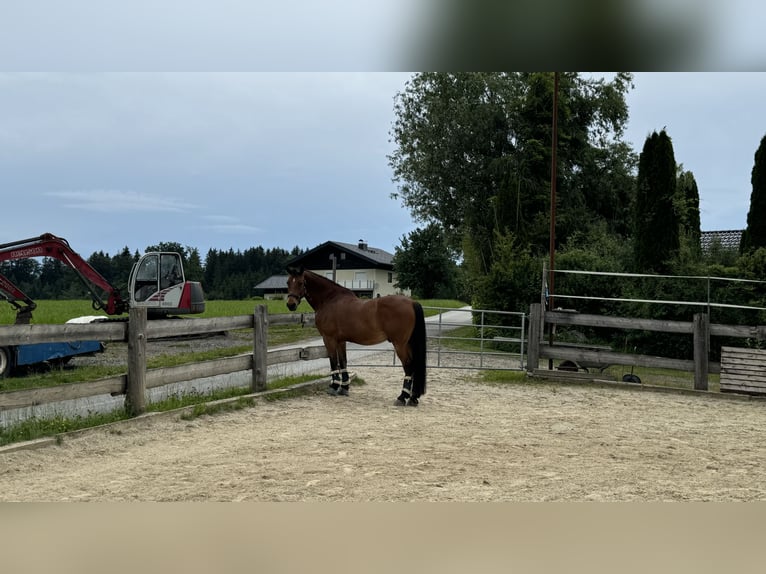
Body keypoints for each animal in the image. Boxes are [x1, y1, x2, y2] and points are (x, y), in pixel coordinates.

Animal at [286, 266, 426, 406]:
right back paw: (413, 398)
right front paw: (344, 388)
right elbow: (343, 362)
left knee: (408, 366)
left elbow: (333, 361)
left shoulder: (329, 338)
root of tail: (411, 302)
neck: (329, 300)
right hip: (408, 343)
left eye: (301, 283)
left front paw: (334, 387)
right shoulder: (341, 341)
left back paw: (402, 397)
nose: (290, 304)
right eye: (288, 282)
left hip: (399, 344)